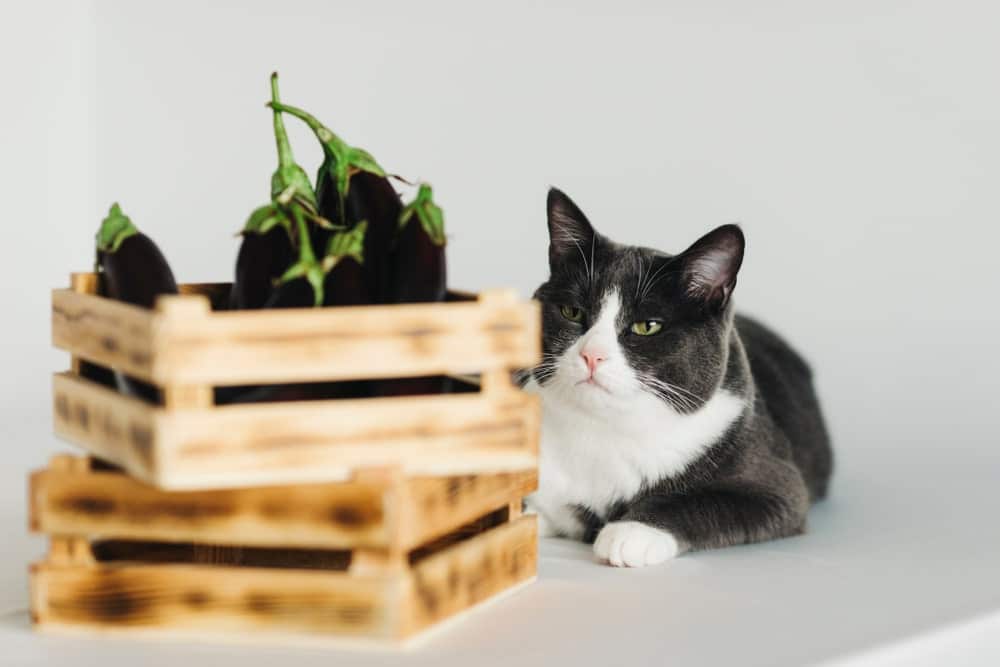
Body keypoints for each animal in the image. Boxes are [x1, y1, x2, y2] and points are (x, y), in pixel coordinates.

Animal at [524, 188, 836, 568]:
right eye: (571, 312)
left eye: (647, 326)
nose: (591, 355)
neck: (604, 430)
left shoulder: (778, 486)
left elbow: (705, 500)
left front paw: (633, 531)